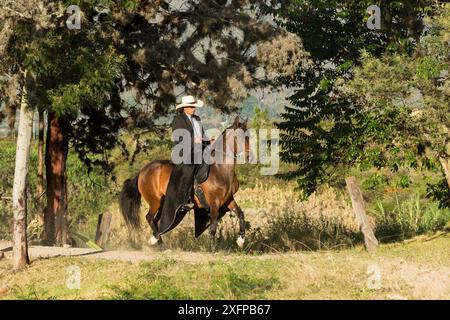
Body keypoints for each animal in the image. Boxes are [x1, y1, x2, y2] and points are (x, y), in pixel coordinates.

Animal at [118, 116, 251, 249]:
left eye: (248, 136)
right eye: (238, 136)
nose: (249, 157)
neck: (219, 169)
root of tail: (142, 171)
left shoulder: (228, 200)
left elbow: (241, 214)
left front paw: (240, 240)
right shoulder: (214, 203)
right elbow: (213, 225)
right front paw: (212, 247)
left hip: (163, 202)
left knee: (156, 220)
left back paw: (160, 243)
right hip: (155, 200)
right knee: (149, 218)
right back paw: (156, 241)